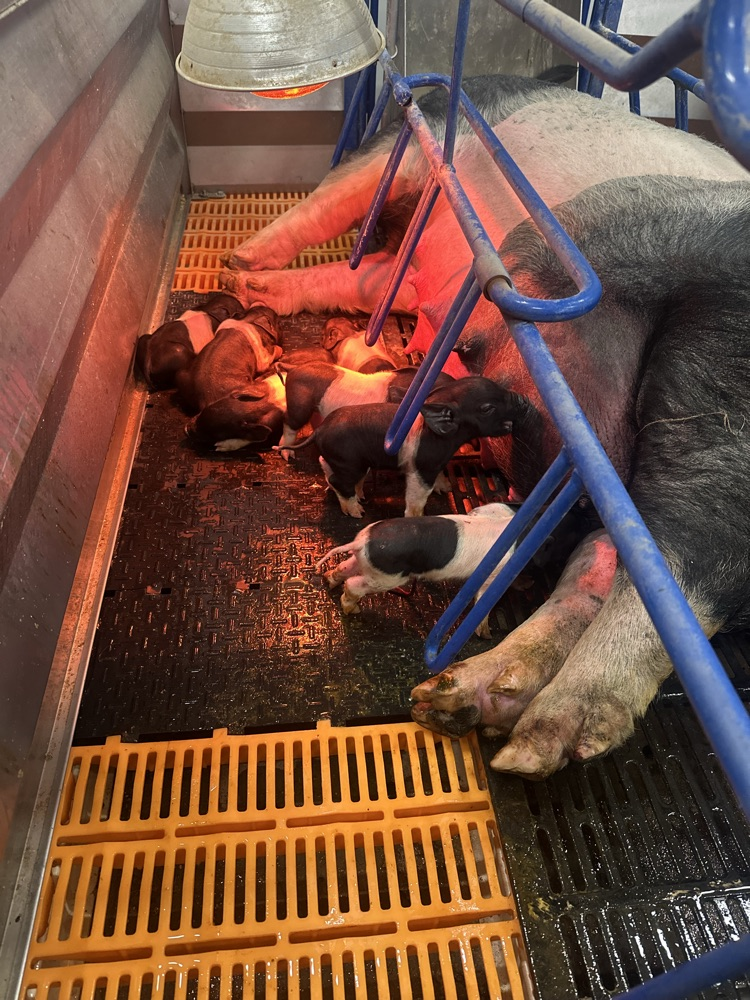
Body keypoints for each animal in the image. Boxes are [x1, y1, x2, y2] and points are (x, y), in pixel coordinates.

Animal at [284, 376, 538, 518]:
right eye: (487, 408)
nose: (523, 399)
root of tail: (319, 430)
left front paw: (446, 487)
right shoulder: (421, 467)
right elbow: (418, 496)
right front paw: (416, 516)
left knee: (328, 468)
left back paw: (360, 495)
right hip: (349, 462)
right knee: (338, 480)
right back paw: (357, 512)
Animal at [316, 502, 516, 637]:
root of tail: (361, 542)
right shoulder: (497, 569)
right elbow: (485, 595)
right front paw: (486, 634)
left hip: (366, 563)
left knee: (344, 567)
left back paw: (329, 579)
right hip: (388, 577)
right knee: (353, 584)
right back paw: (352, 610)